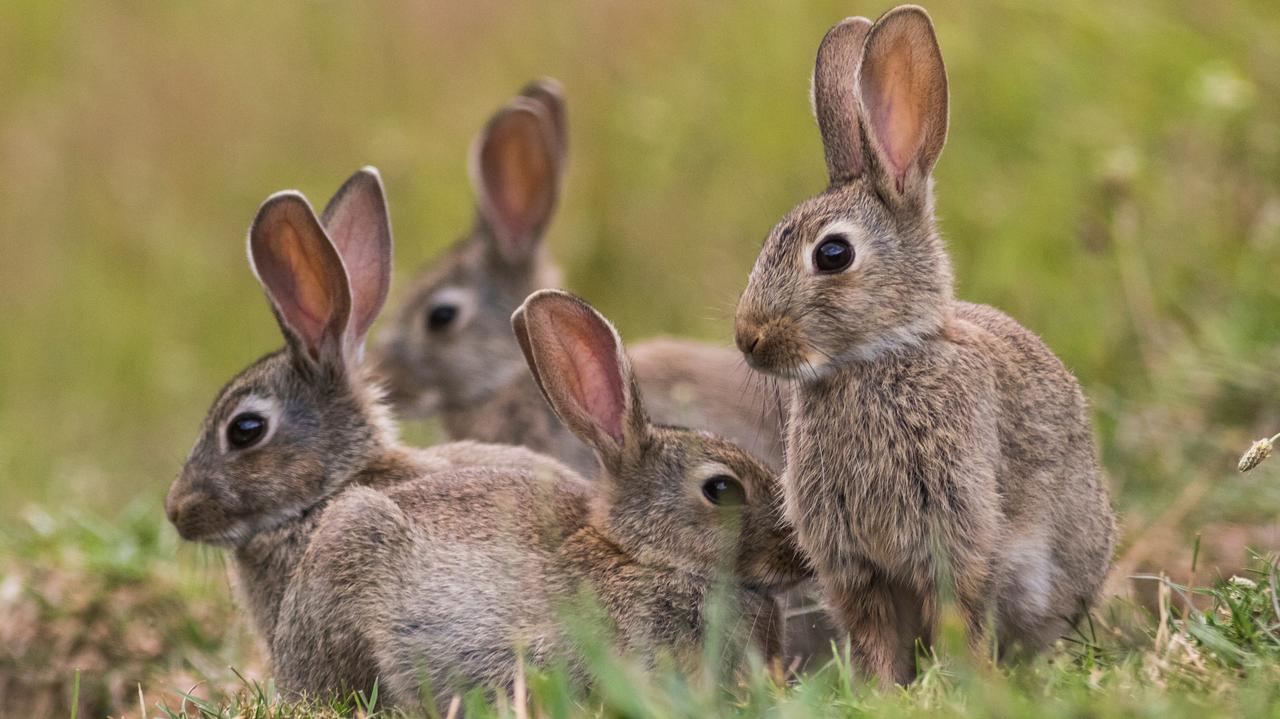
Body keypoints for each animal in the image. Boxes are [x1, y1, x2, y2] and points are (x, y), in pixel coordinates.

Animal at [737, 5, 1116, 680]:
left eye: (832, 254)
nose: (747, 338)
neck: (876, 359)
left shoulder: (956, 537)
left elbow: (957, 616)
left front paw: (964, 684)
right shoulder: (855, 567)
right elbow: (874, 636)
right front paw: (881, 690)